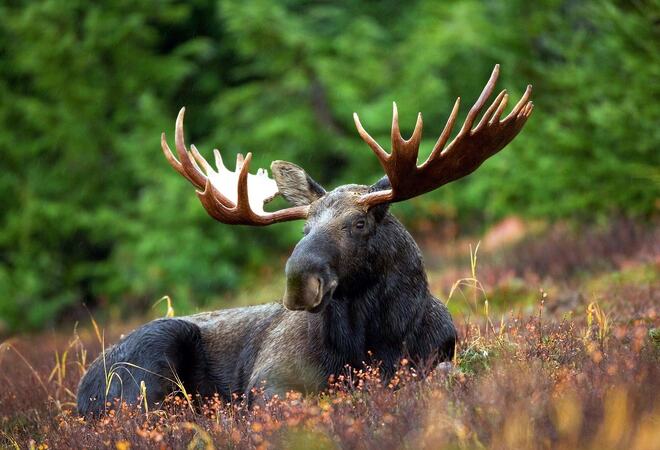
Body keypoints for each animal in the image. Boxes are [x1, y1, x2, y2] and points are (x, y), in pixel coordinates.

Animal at [76, 65, 532, 416]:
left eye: (359, 223)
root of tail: (81, 392)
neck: (376, 340)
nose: (298, 281)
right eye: (304, 228)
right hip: (151, 360)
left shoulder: (437, 356)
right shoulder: (269, 380)